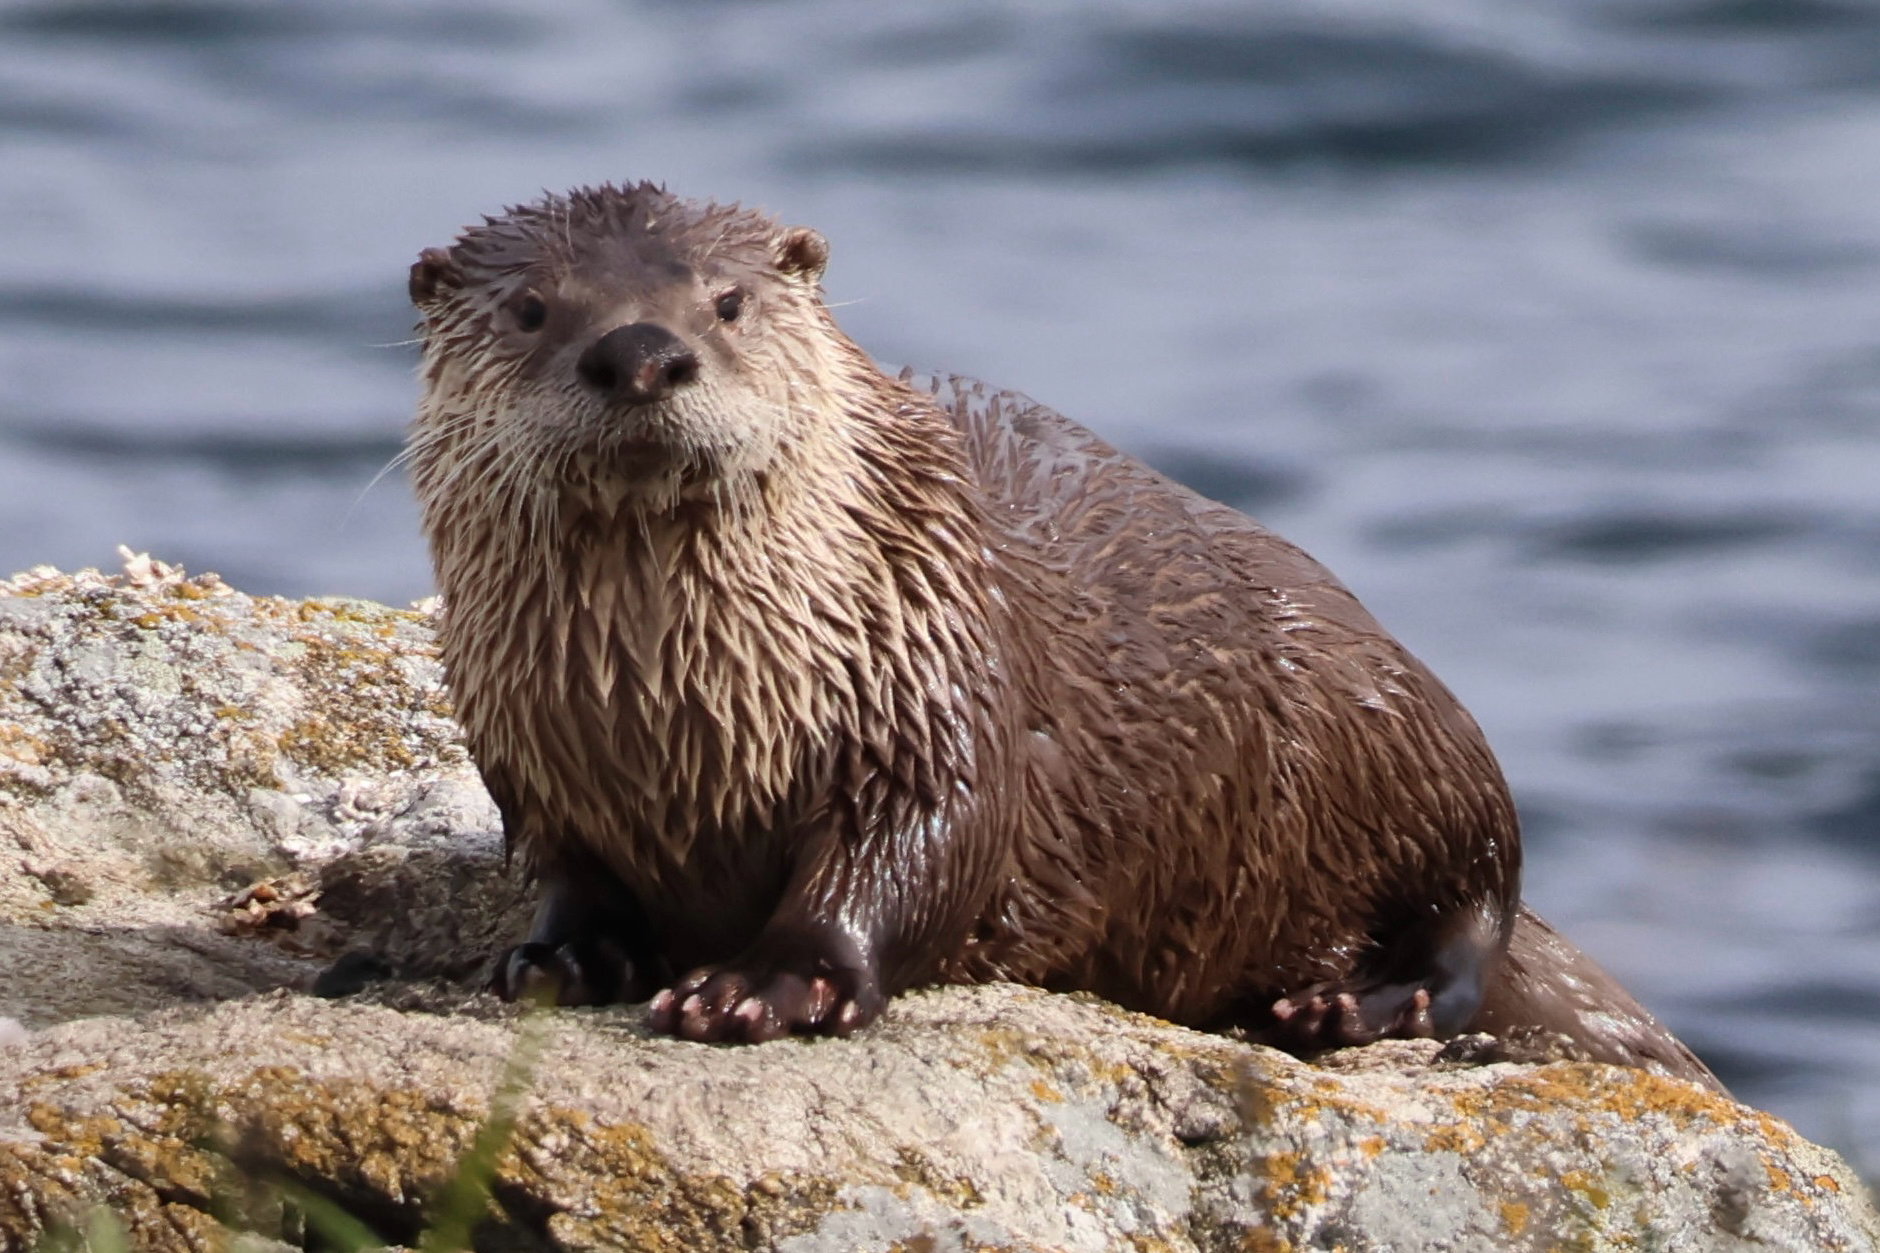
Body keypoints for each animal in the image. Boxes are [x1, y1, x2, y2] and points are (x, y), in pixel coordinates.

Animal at [406, 182, 1719, 1090]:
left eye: (726, 300)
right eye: (531, 308)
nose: (639, 351)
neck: (677, 716)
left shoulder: (933, 672)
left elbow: (915, 847)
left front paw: (759, 985)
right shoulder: (535, 758)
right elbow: (571, 875)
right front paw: (557, 959)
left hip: (1399, 728)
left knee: (1472, 915)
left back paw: (1350, 1004)